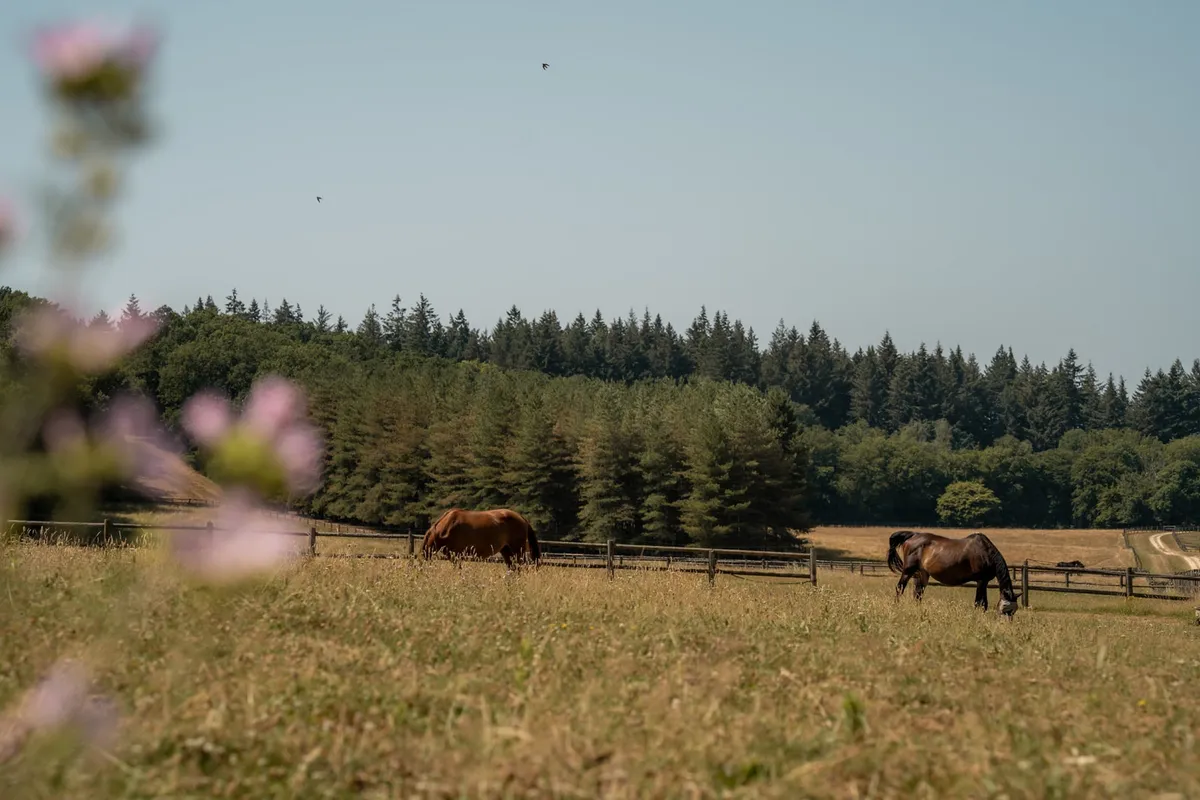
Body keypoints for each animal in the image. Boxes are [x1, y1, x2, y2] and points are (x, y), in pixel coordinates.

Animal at [887, 530, 1021, 617]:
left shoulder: (984, 582)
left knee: (918, 593)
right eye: (1006, 609)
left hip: (921, 573)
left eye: (1014, 611)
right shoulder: (981, 581)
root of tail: (913, 535)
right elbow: (980, 603)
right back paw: (896, 606)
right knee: (900, 588)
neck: (986, 553)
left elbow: (983, 603)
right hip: (908, 571)